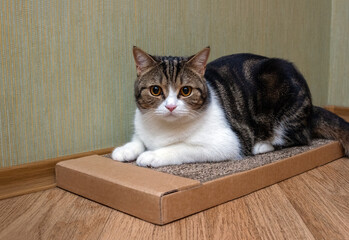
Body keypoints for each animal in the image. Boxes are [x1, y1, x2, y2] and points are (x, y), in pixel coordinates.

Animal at [111, 46, 348, 167]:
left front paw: (151, 155)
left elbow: (181, 147)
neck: (162, 129)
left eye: (185, 91)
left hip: (282, 88)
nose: (170, 107)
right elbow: (139, 139)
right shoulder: (143, 128)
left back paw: (263, 145)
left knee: (299, 137)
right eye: (155, 90)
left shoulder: (227, 142)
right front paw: (125, 150)